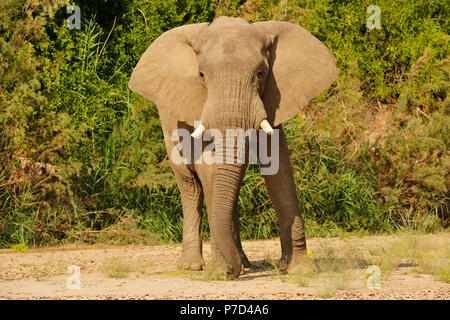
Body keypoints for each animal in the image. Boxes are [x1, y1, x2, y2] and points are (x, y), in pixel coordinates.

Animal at [127, 16, 338, 278]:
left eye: (261, 73)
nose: (231, 272)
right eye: (201, 75)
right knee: (190, 187)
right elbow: (209, 167)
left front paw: (299, 270)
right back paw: (193, 265)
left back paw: (243, 262)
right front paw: (220, 272)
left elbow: (278, 165)